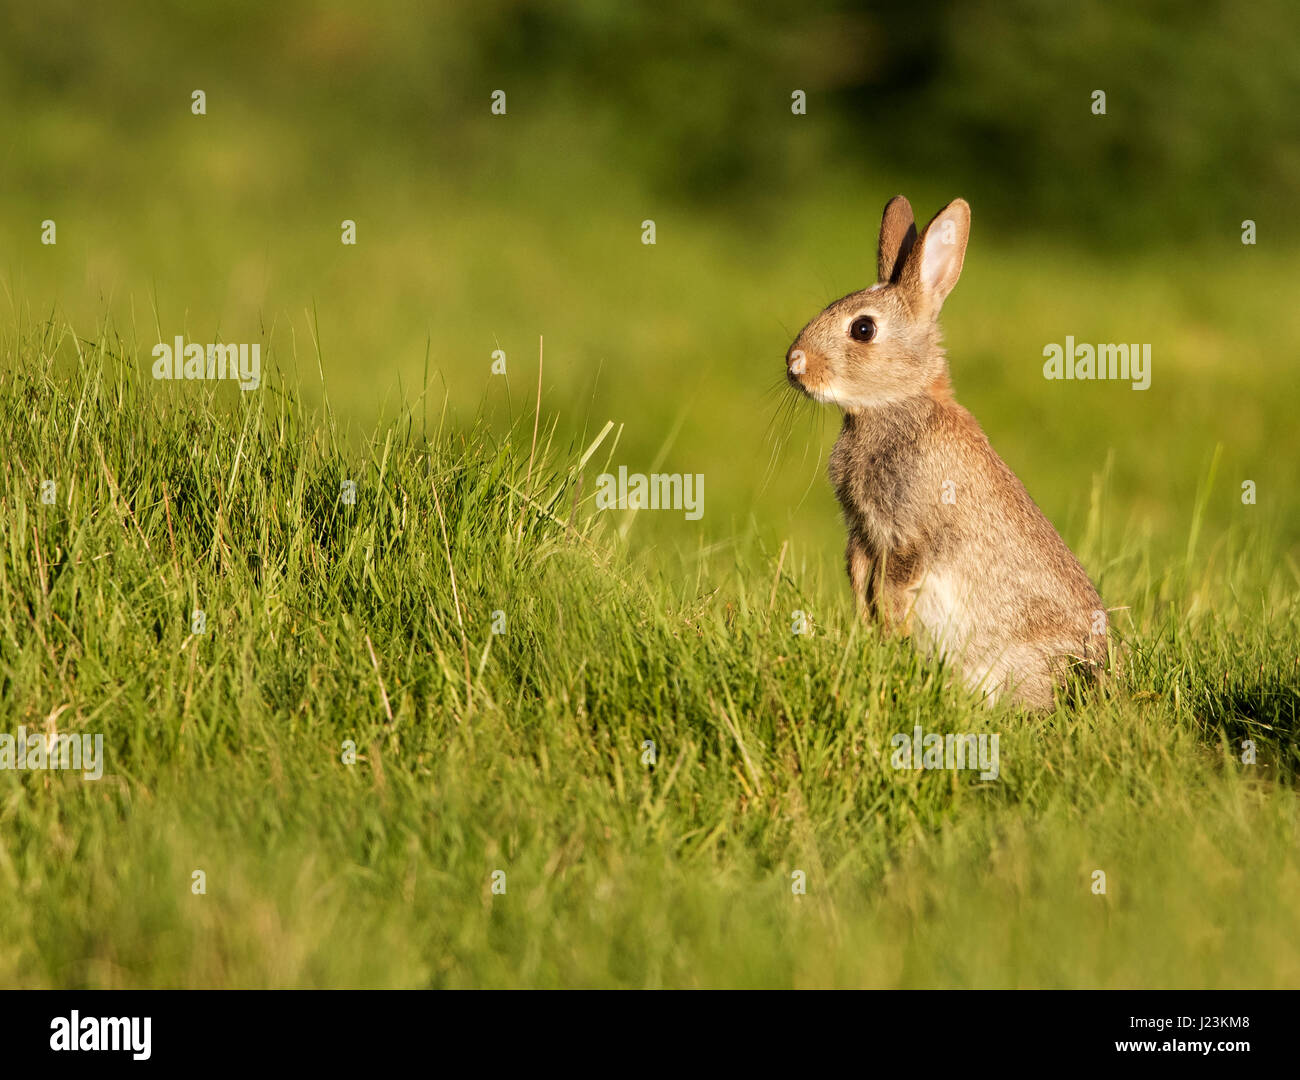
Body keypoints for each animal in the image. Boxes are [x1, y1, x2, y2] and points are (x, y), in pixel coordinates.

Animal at [784, 195, 1109, 709]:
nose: (794, 363)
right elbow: (859, 574)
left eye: (862, 329)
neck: (895, 402)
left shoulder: (913, 533)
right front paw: (870, 632)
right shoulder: (862, 532)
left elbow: (894, 585)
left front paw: (889, 635)